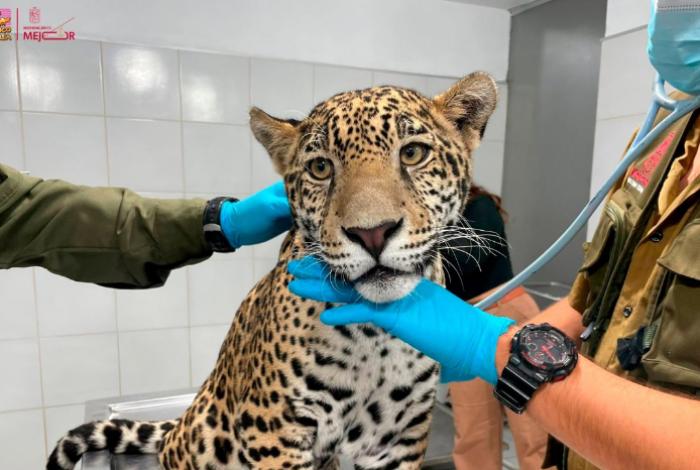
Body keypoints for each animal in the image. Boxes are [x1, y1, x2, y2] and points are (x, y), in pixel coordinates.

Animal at [46, 71, 498, 470]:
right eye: (320, 168)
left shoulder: (398, 438)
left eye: (412, 153)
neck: (376, 336)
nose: (372, 233)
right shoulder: (273, 428)